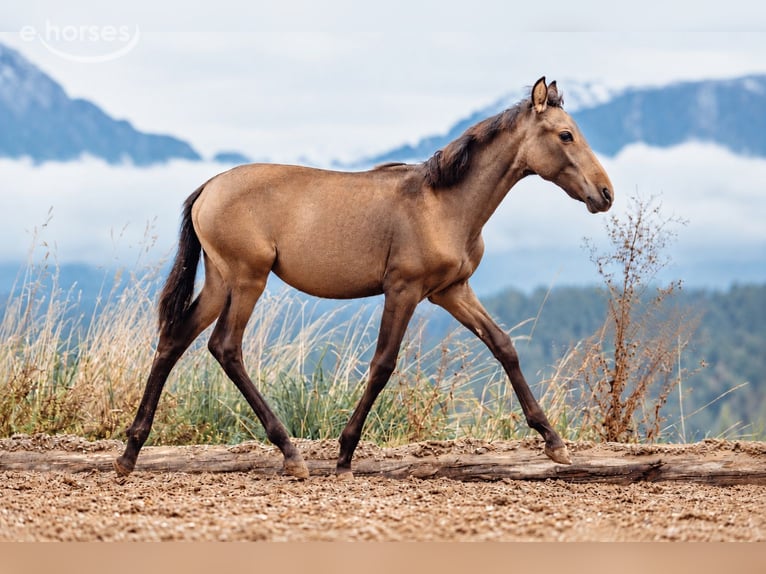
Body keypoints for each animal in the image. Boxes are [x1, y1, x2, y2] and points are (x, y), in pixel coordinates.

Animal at [114, 77, 613, 479]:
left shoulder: (451, 291)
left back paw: (130, 453)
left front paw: (554, 443)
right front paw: (344, 455)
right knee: (225, 347)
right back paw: (291, 454)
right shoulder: (404, 290)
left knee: (174, 340)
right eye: (565, 134)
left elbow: (503, 345)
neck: (444, 204)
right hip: (248, 279)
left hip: (221, 282)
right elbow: (383, 364)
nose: (605, 194)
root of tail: (208, 187)